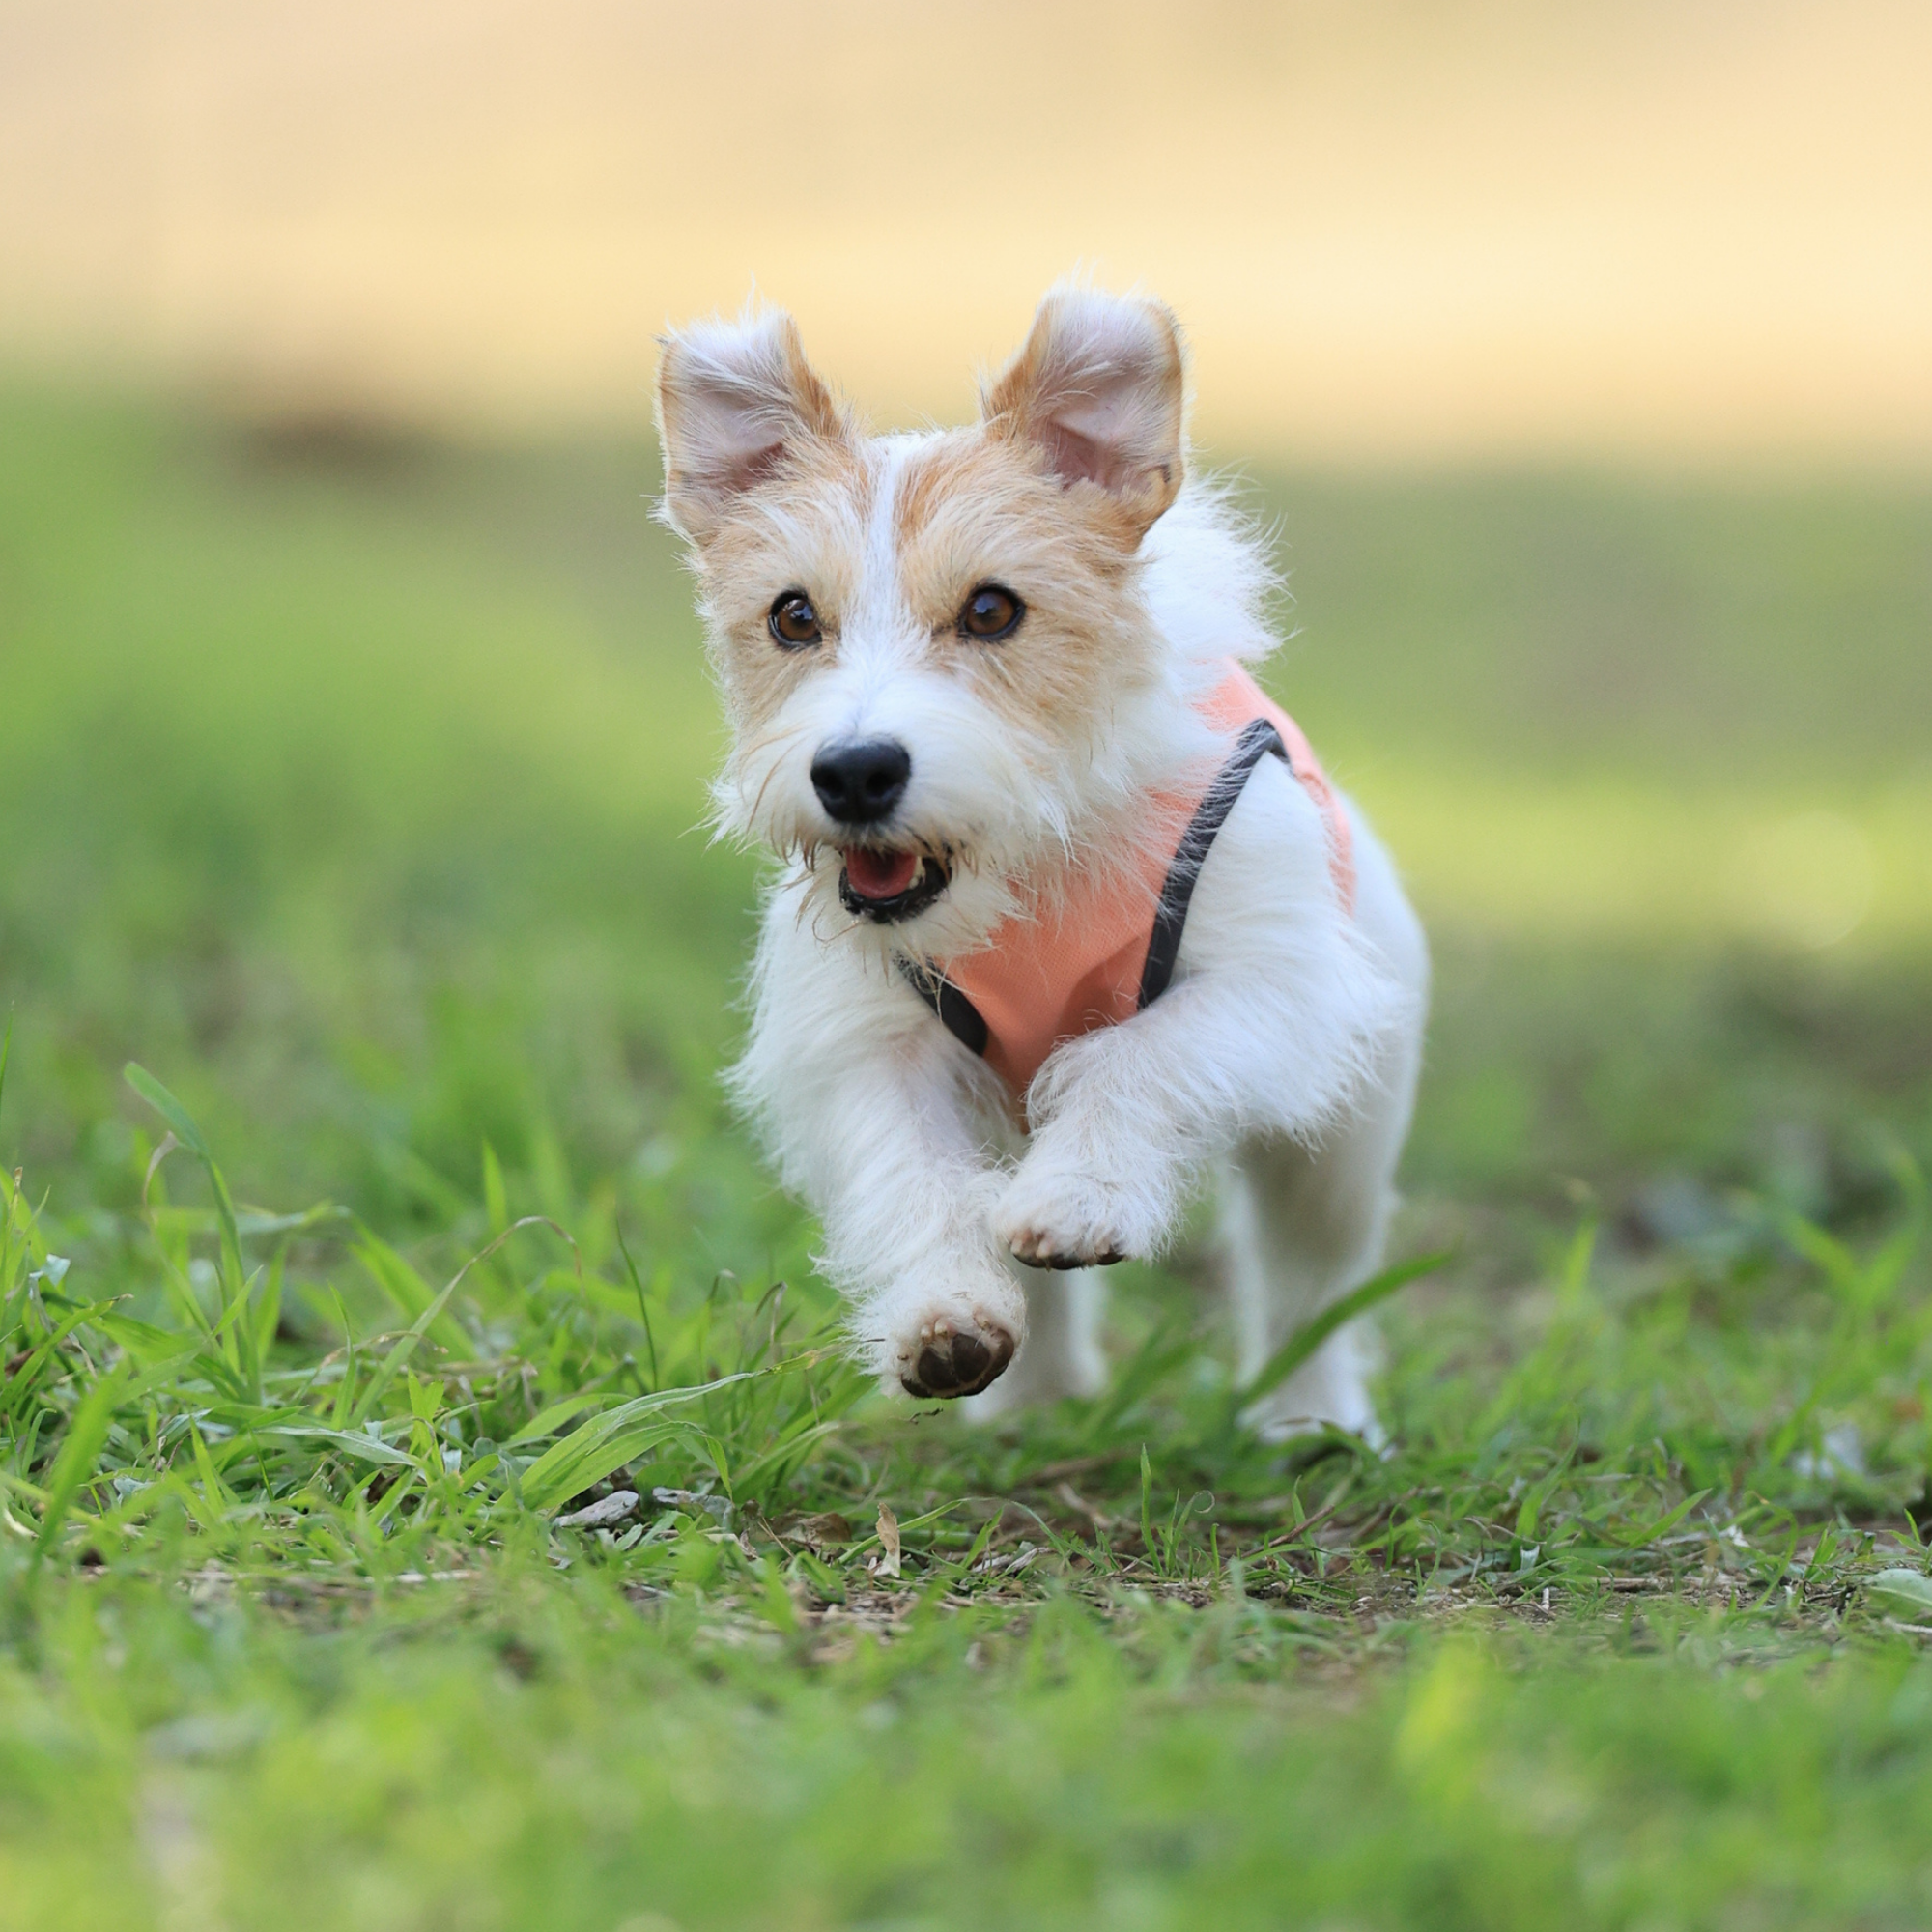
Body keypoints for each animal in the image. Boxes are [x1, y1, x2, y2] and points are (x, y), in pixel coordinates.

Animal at [657, 282, 1430, 1437]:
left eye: (992, 609)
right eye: (793, 617)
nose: (854, 771)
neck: (1024, 871)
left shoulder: (1271, 987)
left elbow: (1132, 1055)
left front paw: (1079, 1197)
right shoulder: (869, 1044)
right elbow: (914, 1174)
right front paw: (945, 1316)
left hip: (1342, 1136)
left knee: (1309, 1274)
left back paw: (1309, 1418)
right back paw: (1038, 1398)